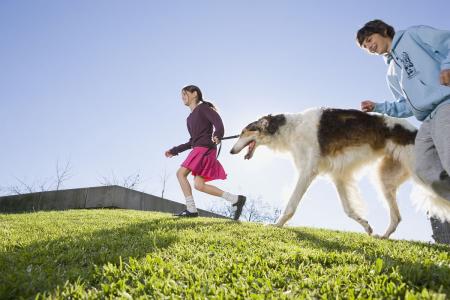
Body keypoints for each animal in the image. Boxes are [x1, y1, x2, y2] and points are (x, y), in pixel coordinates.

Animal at [230, 108, 450, 239]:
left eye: (243, 132)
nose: (231, 151)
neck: (290, 128)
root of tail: (415, 131)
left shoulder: (308, 171)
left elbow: (290, 205)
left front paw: (276, 225)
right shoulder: (338, 176)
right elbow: (348, 210)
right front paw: (367, 226)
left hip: (423, 173)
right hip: (384, 180)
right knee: (396, 218)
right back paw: (383, 236)